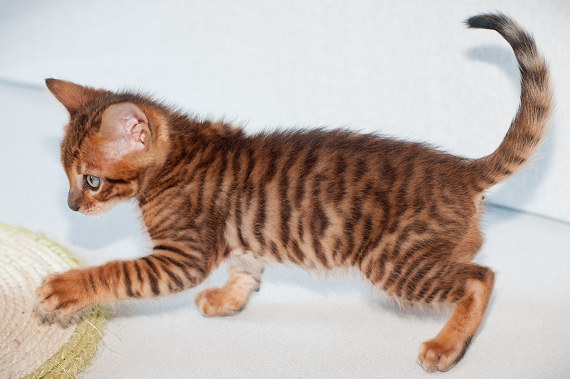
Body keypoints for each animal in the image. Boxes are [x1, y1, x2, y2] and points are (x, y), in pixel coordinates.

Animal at [36, 13, 552, 372]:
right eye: (66, 175)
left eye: (91, 180)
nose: (71, 206)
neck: (179, 156)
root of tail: (461, 170)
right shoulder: (243, 237)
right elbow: (246, 267)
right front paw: (229, 299)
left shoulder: (182, 257)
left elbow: (118, 271)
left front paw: (67, 288)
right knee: (473, 260)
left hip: (392, 261)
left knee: (480, 277)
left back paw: (447, 345)